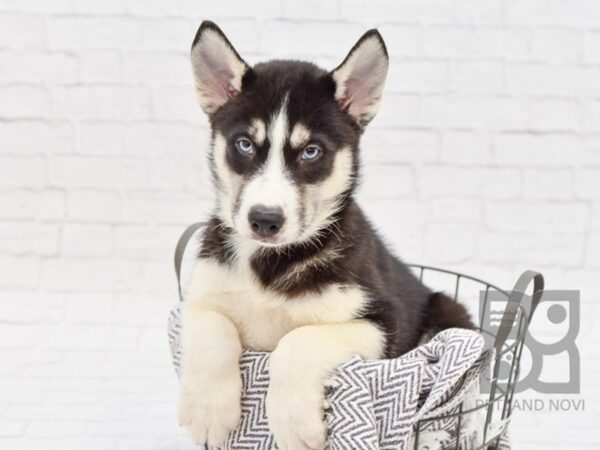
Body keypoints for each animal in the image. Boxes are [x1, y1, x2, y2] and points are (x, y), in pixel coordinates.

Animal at [178, 21, 474, 450]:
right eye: (244, 144)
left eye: (311, 152)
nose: (264, 220)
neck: (271, 264)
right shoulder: (201, 294)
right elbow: (210, 326)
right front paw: (208, 410)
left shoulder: (382, 324)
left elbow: (298, 341)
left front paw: (295, 426)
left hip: (445, 315)